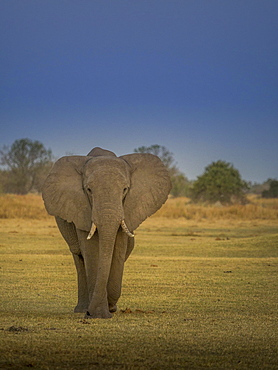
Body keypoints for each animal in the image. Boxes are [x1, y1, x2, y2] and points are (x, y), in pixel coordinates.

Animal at [42, 147, 170, 318]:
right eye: (89, 190)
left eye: (125, 189)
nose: (91, 313)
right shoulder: (81, 208)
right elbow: (90, 251)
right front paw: (99, 313)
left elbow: (118, 249)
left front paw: (107, 308)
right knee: (78, 256)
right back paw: (82, 309)